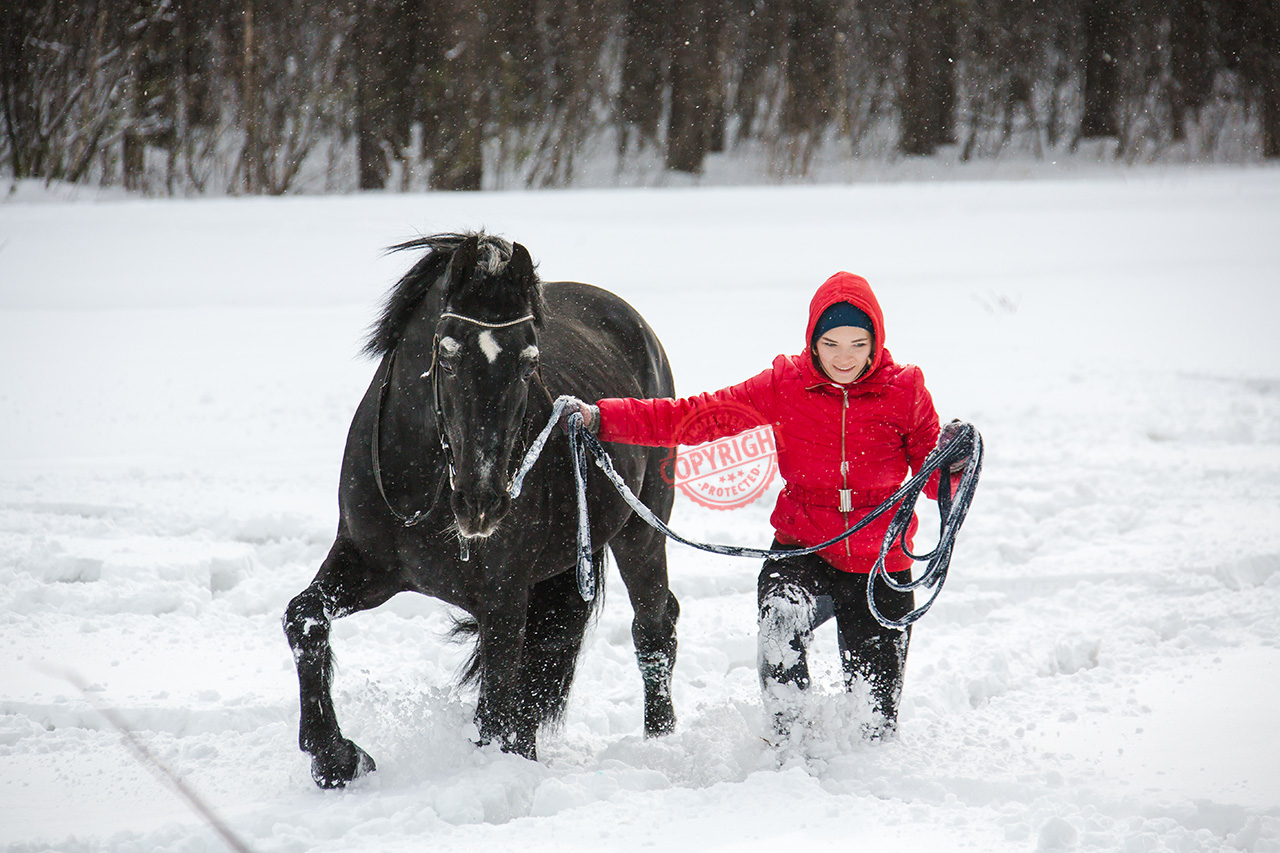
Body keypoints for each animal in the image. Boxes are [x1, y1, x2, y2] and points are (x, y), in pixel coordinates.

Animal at [281, 230, 680, 783]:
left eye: (530, 362)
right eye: (447, 356)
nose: (481, 501)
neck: (425, 490)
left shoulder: (504, 596)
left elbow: (497, 702)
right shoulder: (367, 563)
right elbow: (304, 617)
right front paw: (335, 758)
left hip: (641, 532)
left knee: (654, 629)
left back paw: (661, 743)